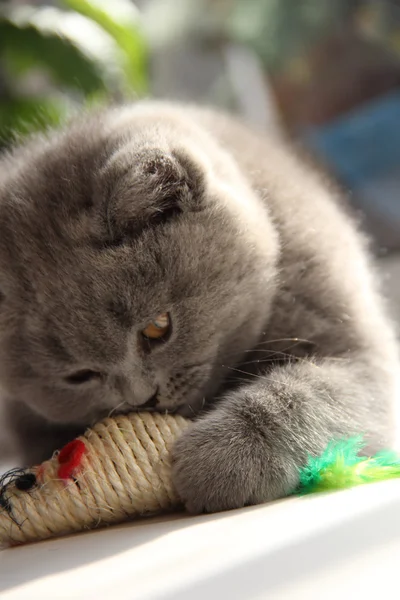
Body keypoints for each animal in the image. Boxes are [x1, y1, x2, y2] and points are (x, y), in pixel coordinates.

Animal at [0, 102, 400, 510]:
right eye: (79, 376)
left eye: (158, 327)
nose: (142, 399)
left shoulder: (357, 348)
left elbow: (310, 392)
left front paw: (224, 460)